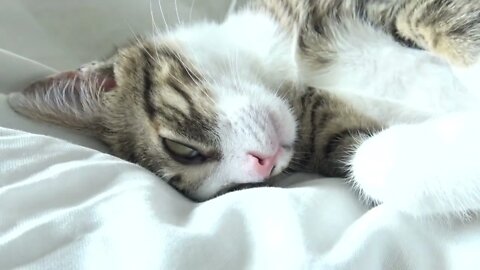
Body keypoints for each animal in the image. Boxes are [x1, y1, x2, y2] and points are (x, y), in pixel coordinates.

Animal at [7, 0, 480, 215]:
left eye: (181, 149)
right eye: (233, 191)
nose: (262, 165)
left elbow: (453, 26)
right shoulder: (334, 131)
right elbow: (364, 161)